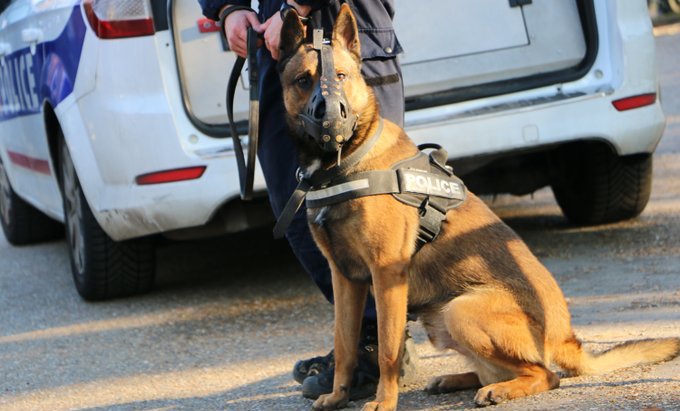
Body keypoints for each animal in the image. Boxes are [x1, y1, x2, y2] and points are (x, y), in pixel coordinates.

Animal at [276, 4, 680, 411]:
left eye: (341, 76)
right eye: (303, 81)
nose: (329, 118)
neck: (344, 162)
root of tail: (564, 336)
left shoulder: (386, 273)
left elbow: (389, 349)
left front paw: (384, 402)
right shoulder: (345, 278)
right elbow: (344, 342)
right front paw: (338, 395)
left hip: (461, 311)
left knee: (546, 374)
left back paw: (499, 389)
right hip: (445, 318)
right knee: (500, 369)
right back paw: (458, 379)